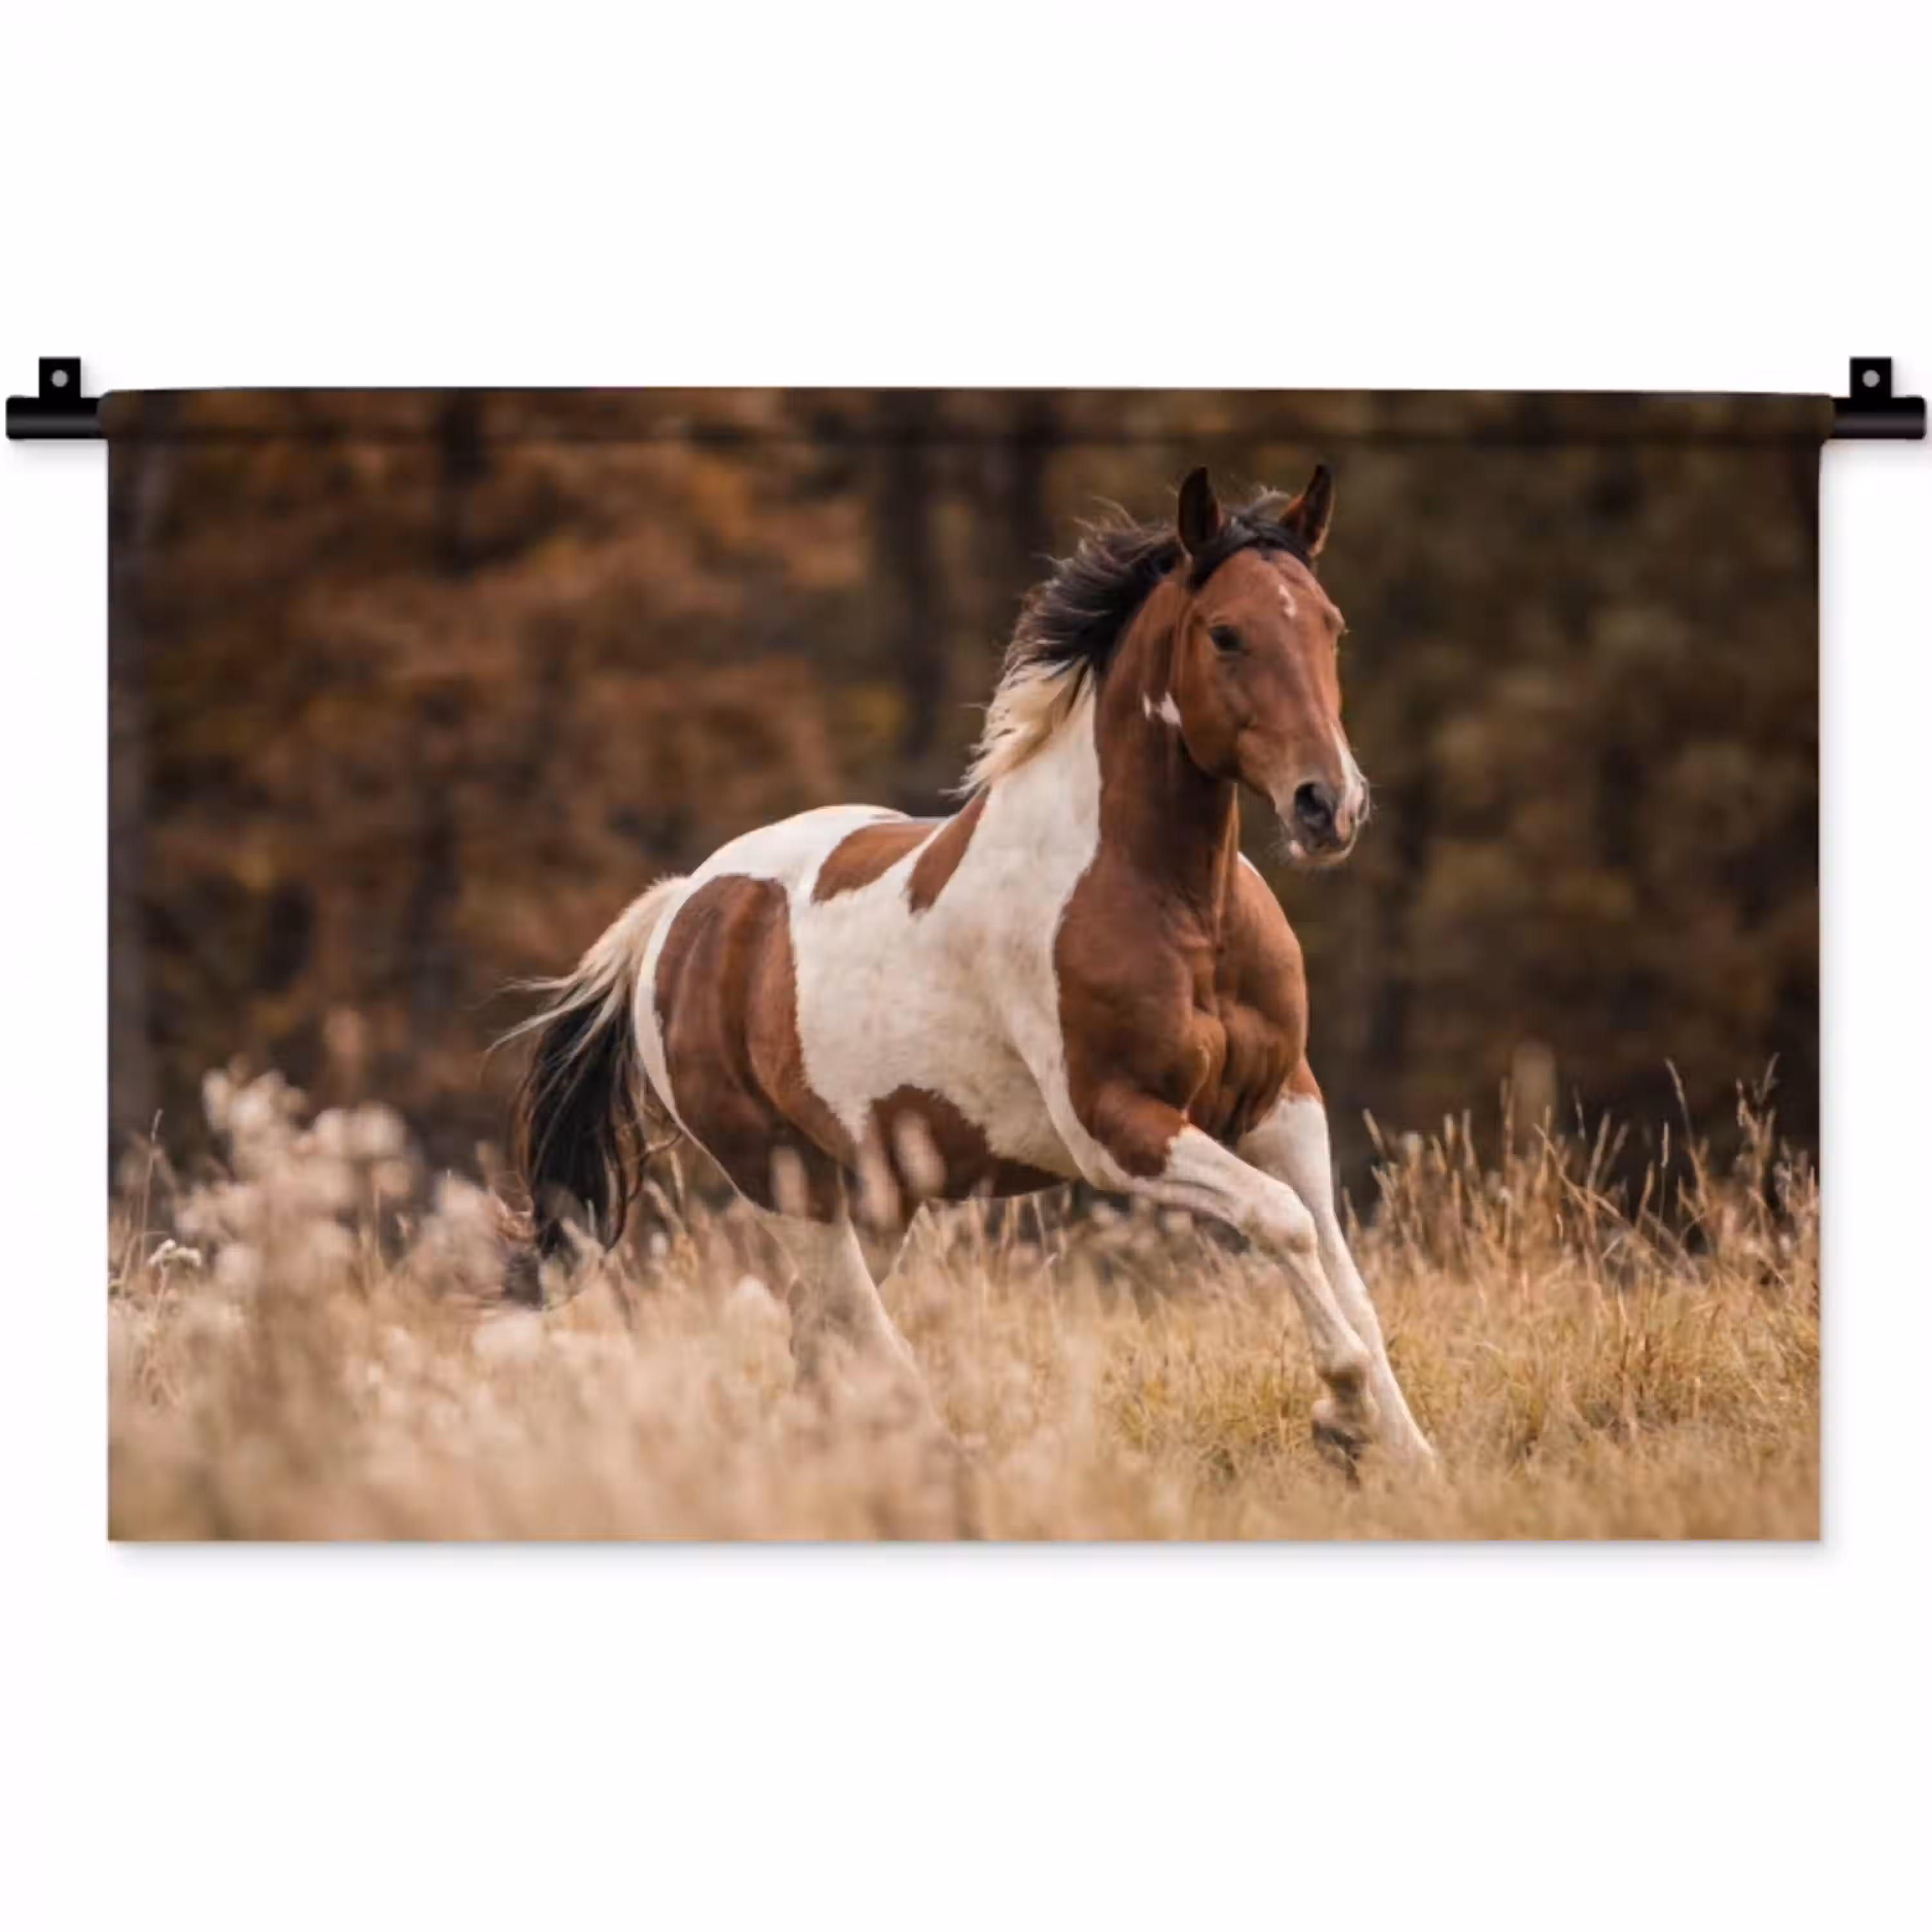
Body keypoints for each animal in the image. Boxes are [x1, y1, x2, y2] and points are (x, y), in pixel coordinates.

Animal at [510, 465, 1436, 1469]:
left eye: (1330, 625)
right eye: (1226, 633)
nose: (1327, 806)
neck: (1182, 908)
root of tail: (680, 908)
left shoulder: (1282, 1105)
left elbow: (1342, 1270)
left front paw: (1410, 1458)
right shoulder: (1117, 1128)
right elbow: (1281, 1222)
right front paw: (1341, 1414)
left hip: (878, 1190)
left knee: (818, 1336)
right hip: (783, 1179)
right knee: (857, 1332)